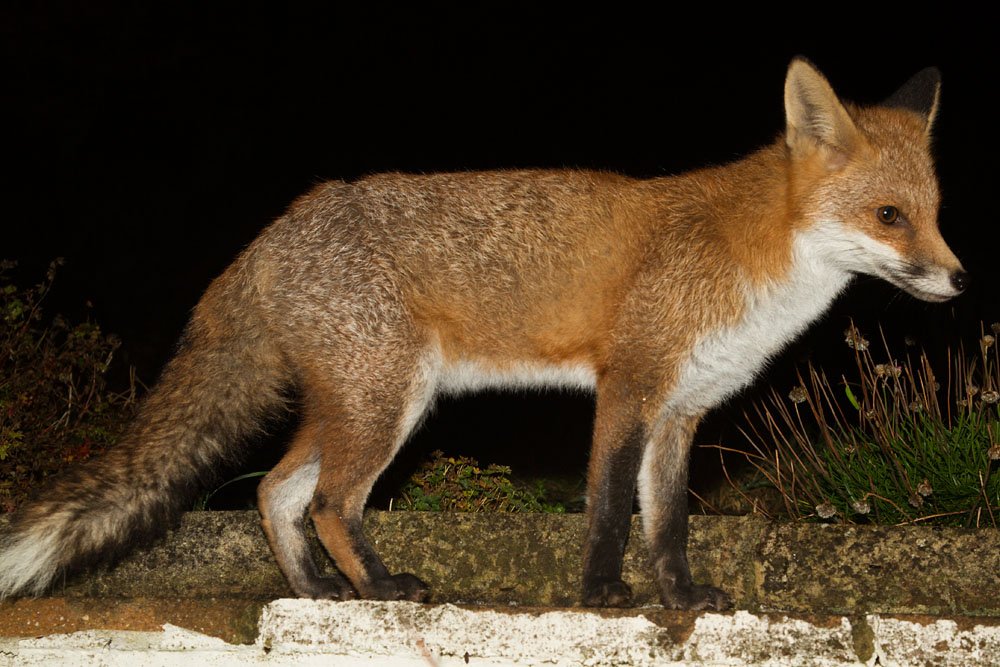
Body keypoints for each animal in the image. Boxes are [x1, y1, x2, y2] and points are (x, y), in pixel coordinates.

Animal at [0, 58, 967, 611]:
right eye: (889, 217)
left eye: (934, 214)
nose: (960, 279)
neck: (754, 266)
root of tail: (272, 234)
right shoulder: (630, 385)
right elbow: (609, 510)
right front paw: (602, 596)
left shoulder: (681, 411)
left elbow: (669, 524)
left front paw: (684, 596)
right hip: (389, 402)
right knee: (329, 501)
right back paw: (380, 587)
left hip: (360, 401)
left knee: (274, 491)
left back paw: (315, 591)